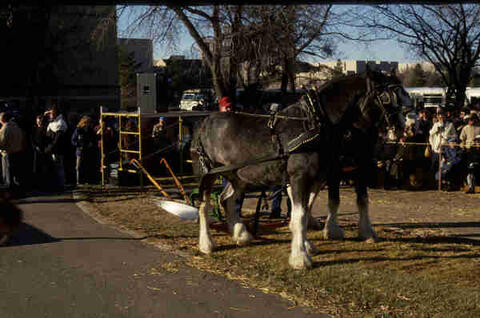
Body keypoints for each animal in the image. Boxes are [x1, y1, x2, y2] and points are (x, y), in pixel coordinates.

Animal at [191, 71, 412, 270]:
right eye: (390, 94)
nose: (405, 123)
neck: (315, 124)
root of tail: (204, 122)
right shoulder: (300, 177)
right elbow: (300, 215)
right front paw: (300, 258)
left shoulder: (317, 177)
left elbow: (306, 211)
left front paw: (306, 245)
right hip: (209, 174)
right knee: (203, 205)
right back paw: (206, 244)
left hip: (238, 176)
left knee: (227, 200)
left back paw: (241, 234)